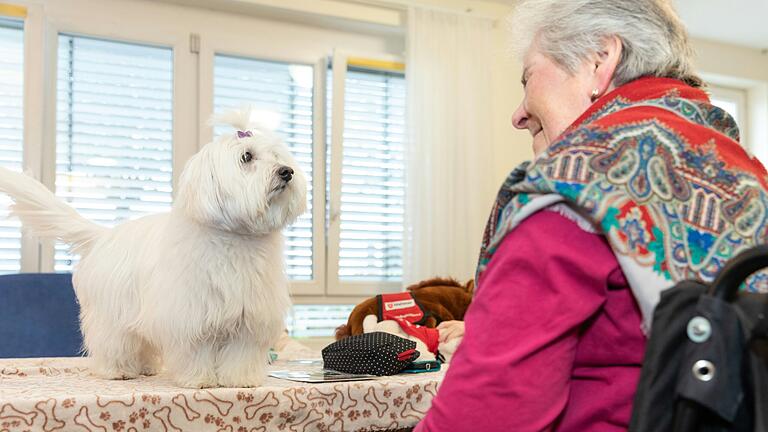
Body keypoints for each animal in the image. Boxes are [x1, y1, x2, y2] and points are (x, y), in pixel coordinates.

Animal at [0, 108, 308, 388]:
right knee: (112, 343)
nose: (287, 172)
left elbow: (239, 355)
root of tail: (104, 236)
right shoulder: (190, 315)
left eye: (277, 156)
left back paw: (147, 368)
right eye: (247, 157)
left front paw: (239, 381)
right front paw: (200, 380)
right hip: (114, 314)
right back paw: (117, 371)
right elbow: (198, 351)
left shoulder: (248, 318)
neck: (234, 237)